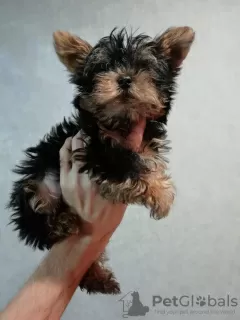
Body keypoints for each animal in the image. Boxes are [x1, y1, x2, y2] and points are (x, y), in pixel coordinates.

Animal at [7, 26, 195, 294]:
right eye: (104, 67)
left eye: (143, 66)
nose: (125, 78)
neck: (122, 120)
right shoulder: (95, 148)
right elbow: (126, 162)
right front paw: (160, 193)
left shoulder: (142, 143)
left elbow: (145, 157)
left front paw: (156, 182)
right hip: (35, 185)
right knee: (38, 217)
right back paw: (61, 223)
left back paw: (97, 277)